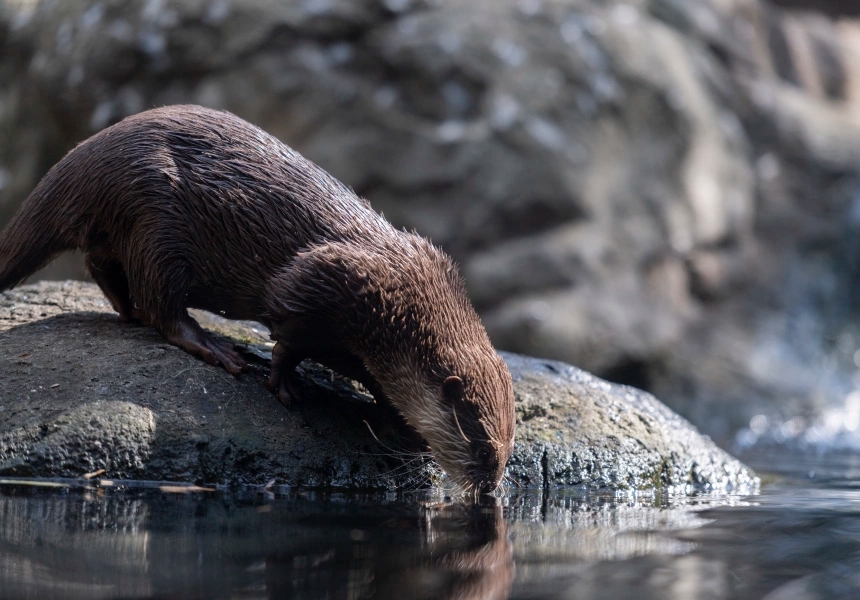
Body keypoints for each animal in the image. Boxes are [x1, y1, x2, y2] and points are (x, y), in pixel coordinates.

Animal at [0, 105, 516, 494]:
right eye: (482, 447)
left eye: (510, 446)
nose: (491, 487)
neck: (398, 301)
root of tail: (89, 156)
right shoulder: (321, 284)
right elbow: (287, 335)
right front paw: (285, 382)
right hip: (154, 217)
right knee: (161, 303)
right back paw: (216, 348)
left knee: (105, 268)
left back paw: (129, 312)